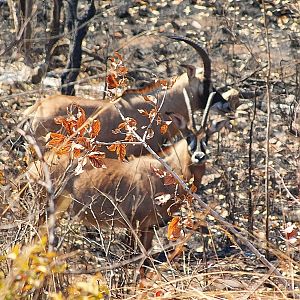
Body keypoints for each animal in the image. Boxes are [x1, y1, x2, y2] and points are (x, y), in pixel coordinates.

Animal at [28, 108, 230, 251]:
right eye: (188, 136)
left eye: (208, 137)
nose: (199, 157)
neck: (168, 169)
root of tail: (35, 168)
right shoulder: (138, 225)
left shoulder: (149, 228)